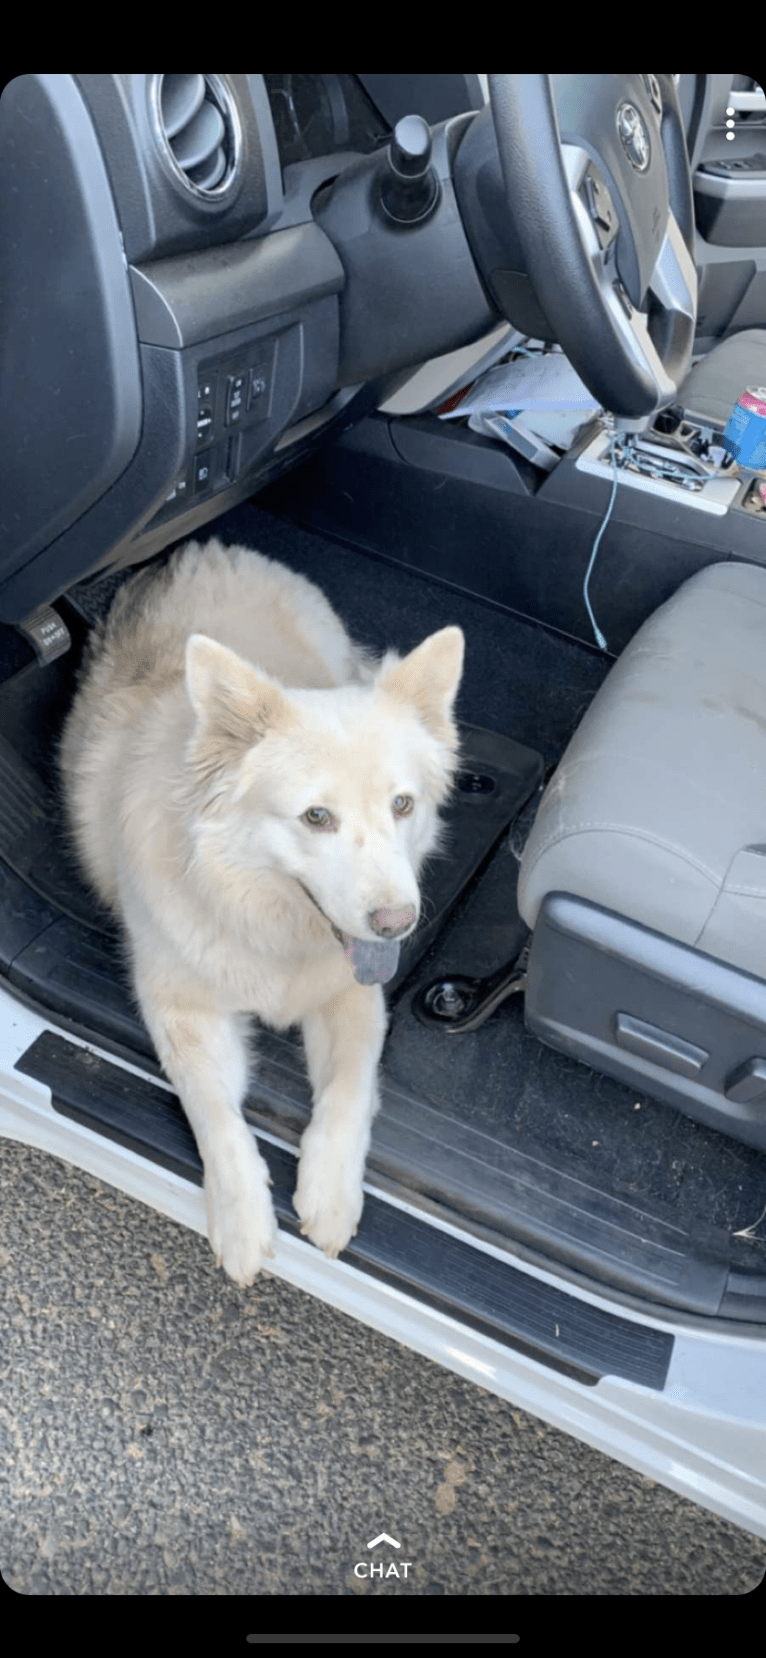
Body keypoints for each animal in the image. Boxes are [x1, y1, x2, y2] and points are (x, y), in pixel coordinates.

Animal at [59, 540, 464, 1279]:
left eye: (403, 804)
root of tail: (200, 547)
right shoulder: (182, 1008)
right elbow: (214, 1113)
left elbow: (349, 1089)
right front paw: (243, 1217)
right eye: (316, 817)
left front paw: (330, 1194)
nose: (398, 924)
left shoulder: (355, 999)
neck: (264, 916)